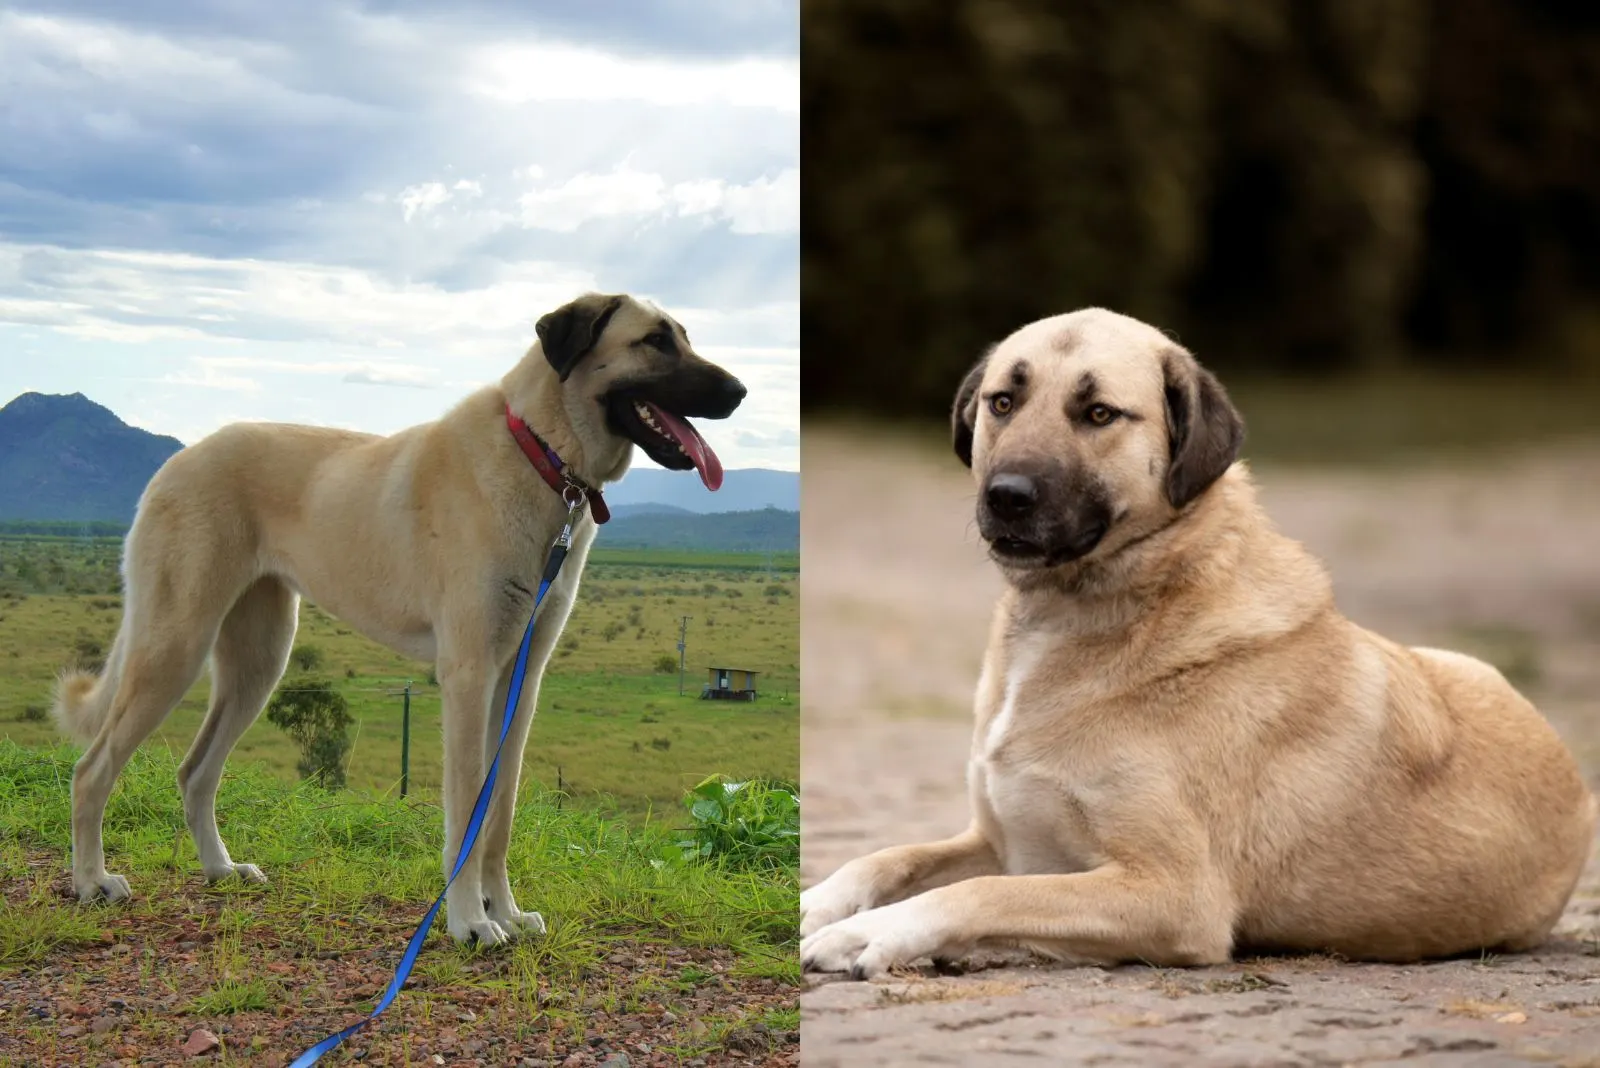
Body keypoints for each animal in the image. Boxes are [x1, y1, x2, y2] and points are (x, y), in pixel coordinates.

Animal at [54, 289, 742, 940]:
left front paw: (507, 911)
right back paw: (92, 882)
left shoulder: (519, 683)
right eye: (654, 341)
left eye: (684, 335)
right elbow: (466, 813)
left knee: (195, 771)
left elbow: (500, 814)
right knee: (92, 771)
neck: (540, 452)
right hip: (175, 644)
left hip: (259, 661)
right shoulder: (468, 676)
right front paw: (469, 922)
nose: (740, 392)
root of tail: (178, 460)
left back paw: (221, 869)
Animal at [806, 306, 1593, 978]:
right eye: (1003, 401)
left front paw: (870, 933)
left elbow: (976, 895)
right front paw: (819, 904)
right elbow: (890, 858)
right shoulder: (1006, 842)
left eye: (1099, 414)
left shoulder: (1174, 894)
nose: (1006, 495)